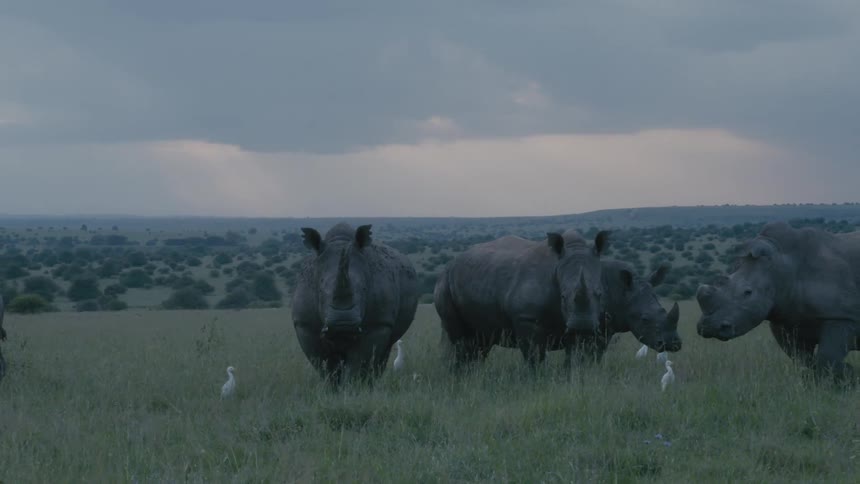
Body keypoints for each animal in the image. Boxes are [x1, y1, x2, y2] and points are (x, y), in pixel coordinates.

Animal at [292, 222, 419, 385]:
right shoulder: (305, 325)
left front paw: (353, 387)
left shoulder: (378, 324)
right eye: (320, 290)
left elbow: (358, 366)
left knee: (383, 352)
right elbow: (325, 366)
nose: (343, 325)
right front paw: (333, 387)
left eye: (364, 289)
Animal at [434, 229, 610, 368]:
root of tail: (450, 264)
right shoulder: (526, 317)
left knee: (480, 341)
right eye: (563, 296)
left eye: (600, 294)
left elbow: (575, 355)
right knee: (462, 341)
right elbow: (535, 356)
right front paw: (538, 380)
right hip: (445, 283)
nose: (583, 325)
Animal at [697, 222, 860, 380]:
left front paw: (850, 376)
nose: (708, 327)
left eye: (748, 293)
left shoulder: (841, 316)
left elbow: (827, 357)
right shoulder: (785, 319)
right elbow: (803, 358)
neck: (782, 267)